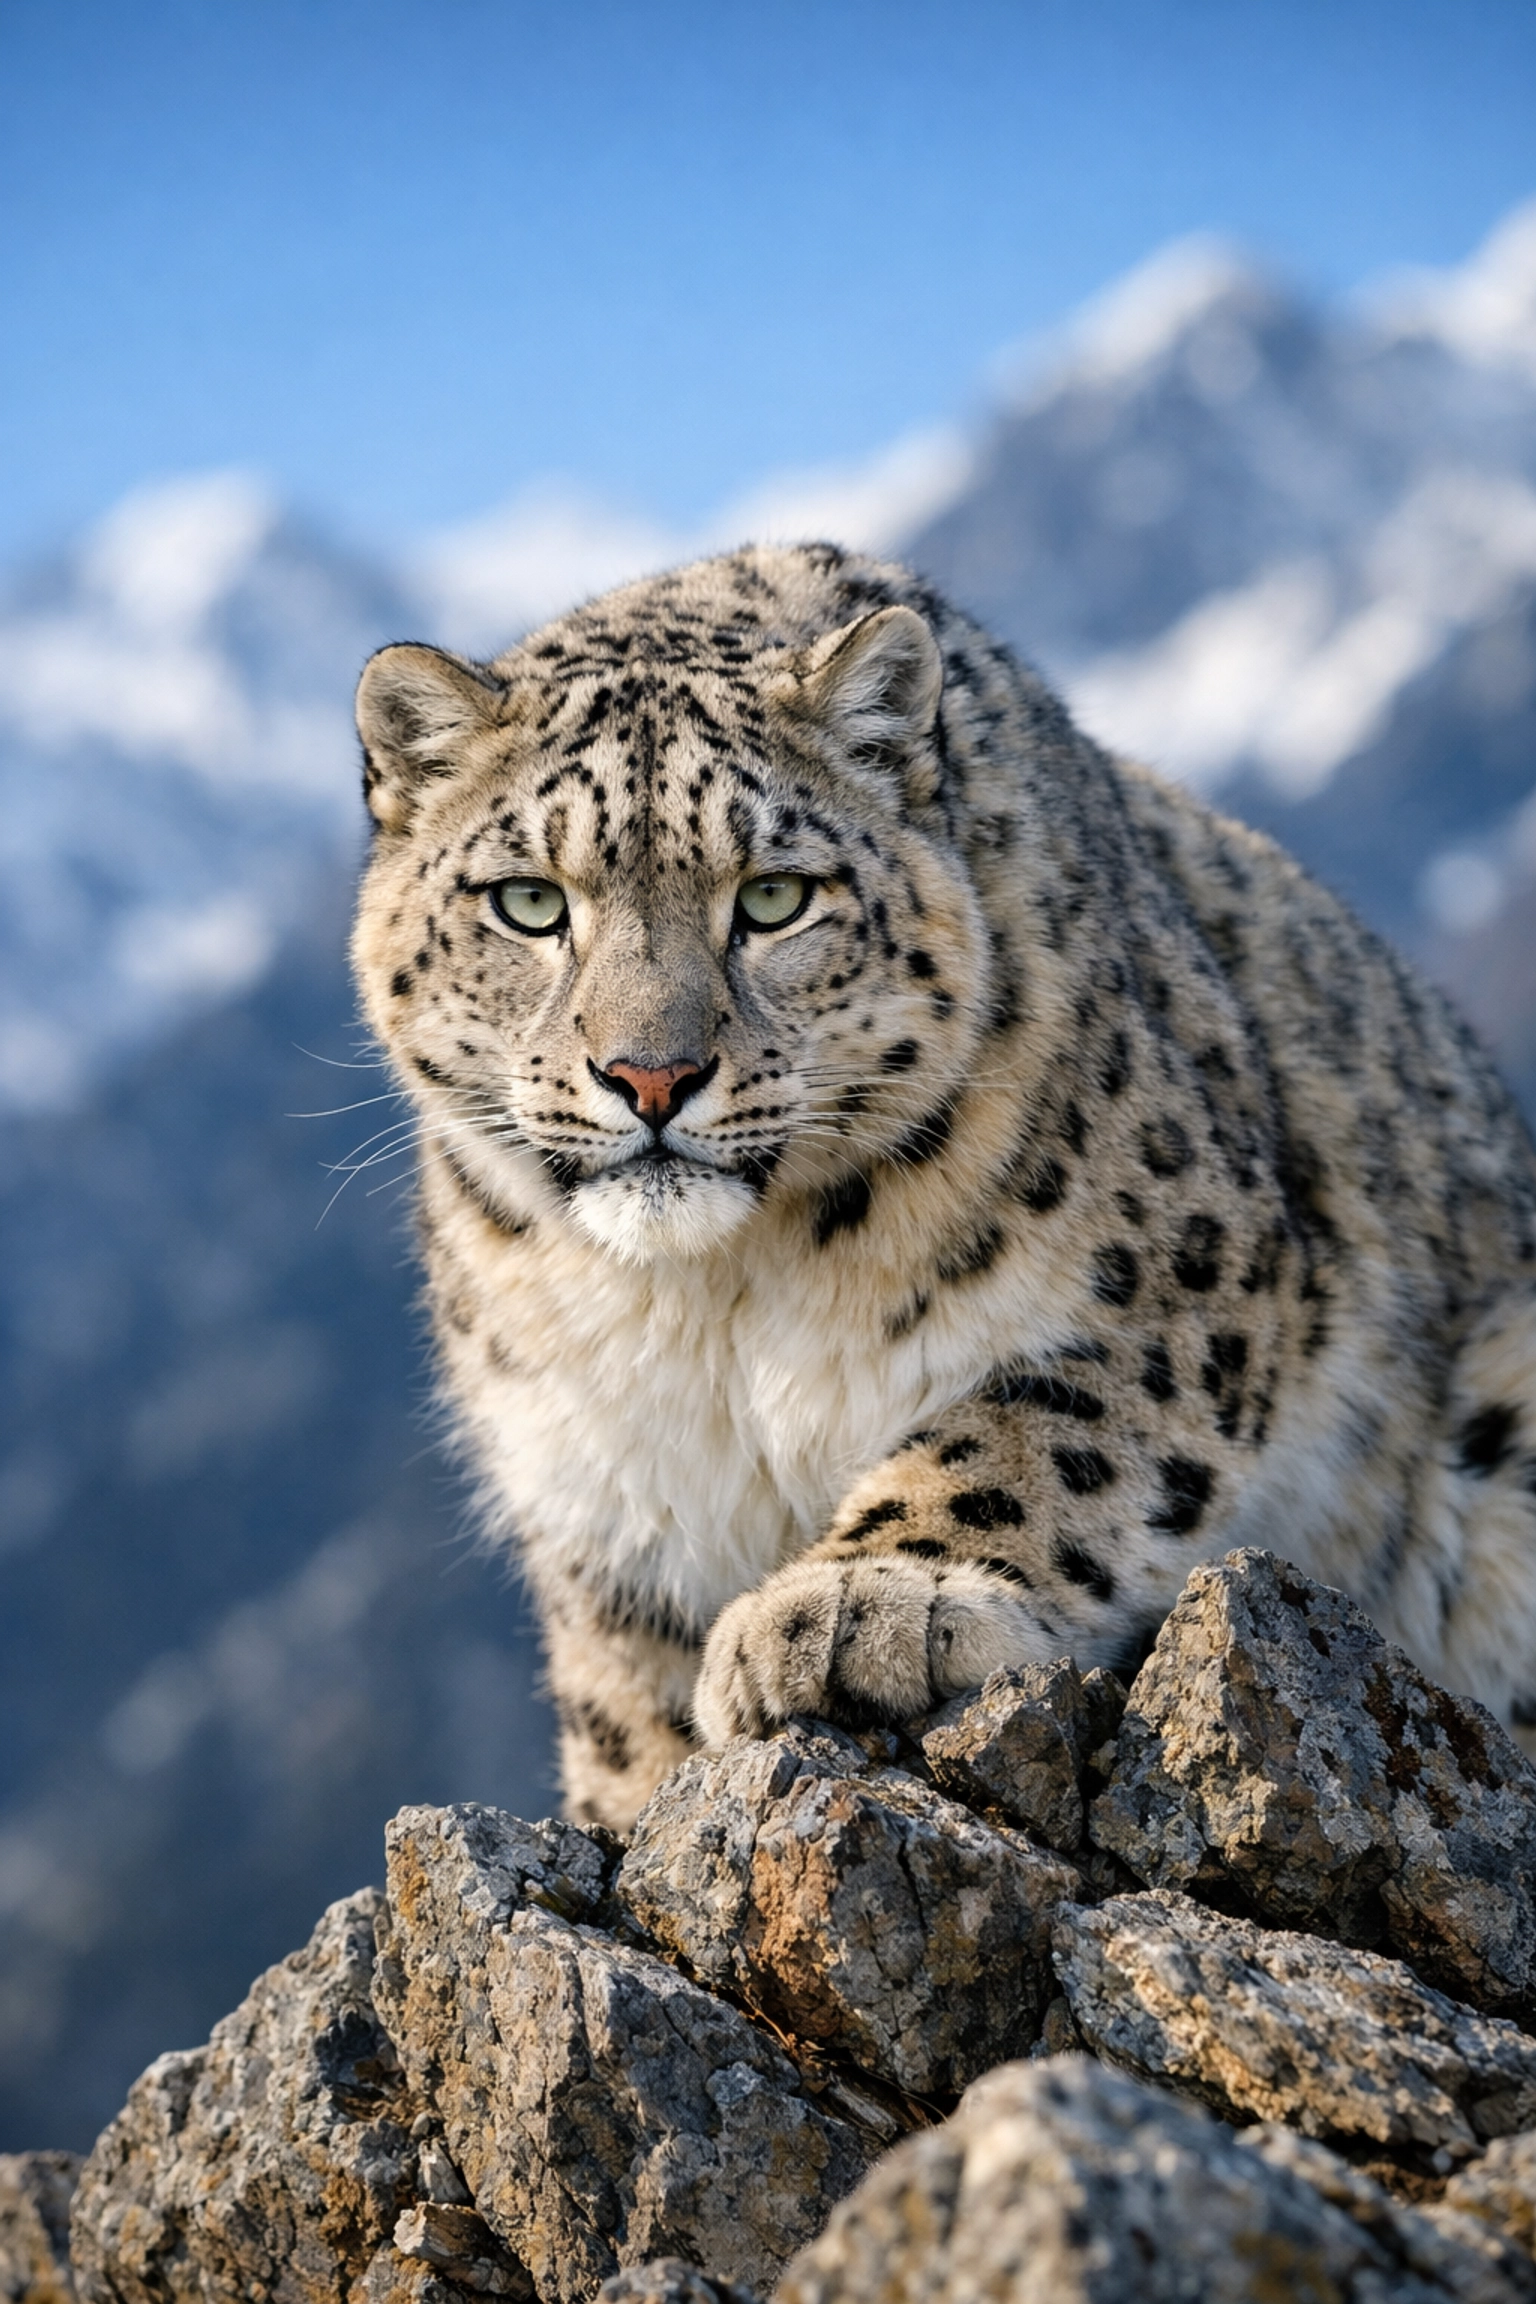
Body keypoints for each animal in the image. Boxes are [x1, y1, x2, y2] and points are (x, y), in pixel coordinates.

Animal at [351, 542, 1536, 1832]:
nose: (650, 1075)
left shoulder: (1184, 1279)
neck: (709, 1308)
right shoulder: (599, 1502)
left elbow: (1031, 1430)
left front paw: (859, 1607)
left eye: (774, 896)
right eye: (528, 901)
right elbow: (623, 1709)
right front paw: (639, 1802)